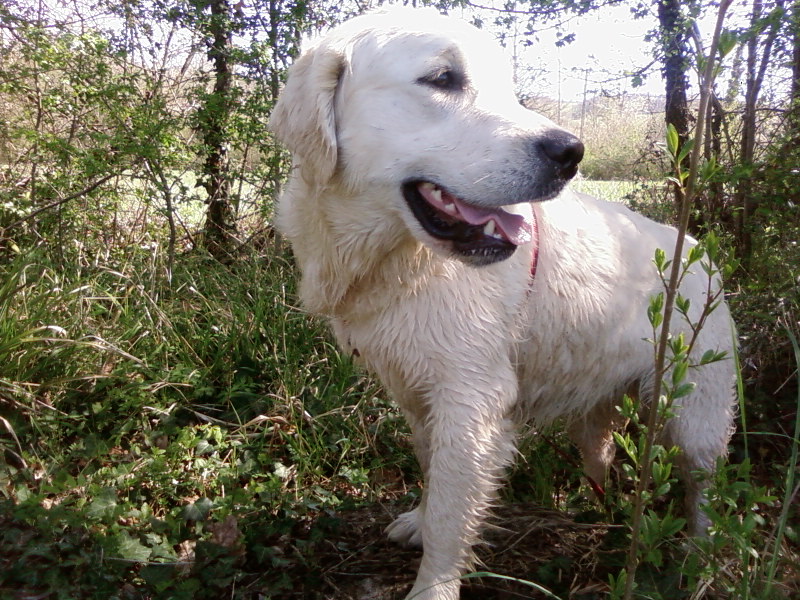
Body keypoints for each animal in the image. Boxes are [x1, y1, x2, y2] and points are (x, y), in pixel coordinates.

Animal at [270, 8, 736, 600]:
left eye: (507, 89)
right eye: (442, 78)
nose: (571, 152)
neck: (399, 259)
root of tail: (701, 252)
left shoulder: (472, 398)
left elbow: (452, 514)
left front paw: (433, 585)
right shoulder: (419, 392)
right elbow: (431, 470)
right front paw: (419, 521)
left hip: (695, 416)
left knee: (706, 494)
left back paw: (698, 563)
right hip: (598, 405)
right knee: (602, 453)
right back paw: (597, 511)